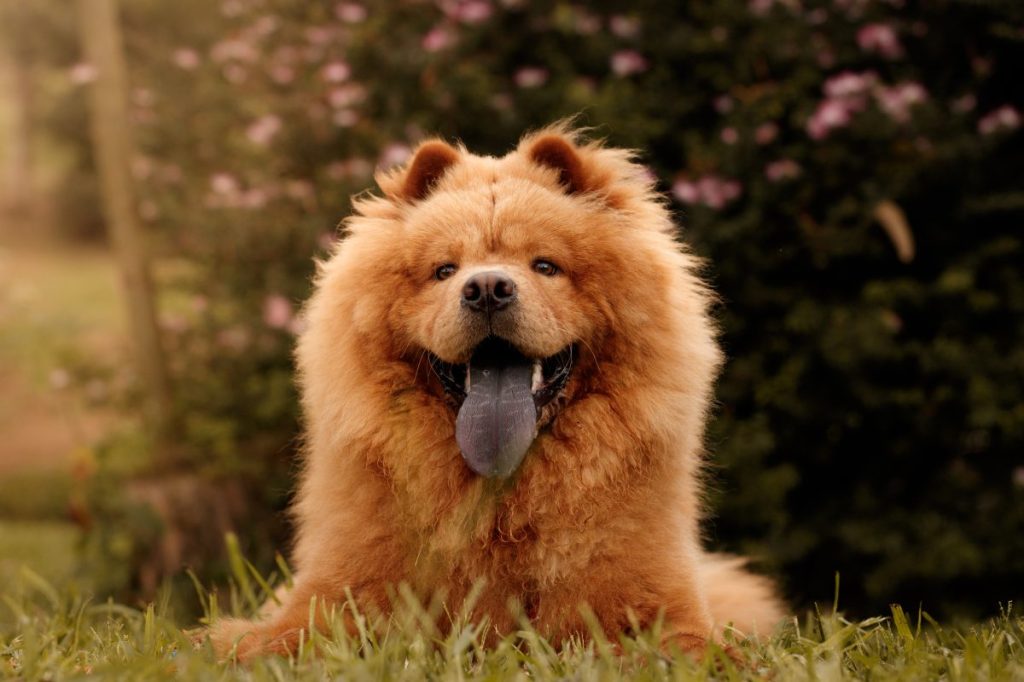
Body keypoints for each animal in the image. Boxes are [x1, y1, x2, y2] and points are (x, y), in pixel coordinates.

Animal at [207, 124, 782, 655]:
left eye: (545, 266)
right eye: (444, 270)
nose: (486, 288)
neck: (499, 501)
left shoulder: (648, 598)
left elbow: (689, 644)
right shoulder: (340, 590)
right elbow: (285, 637)